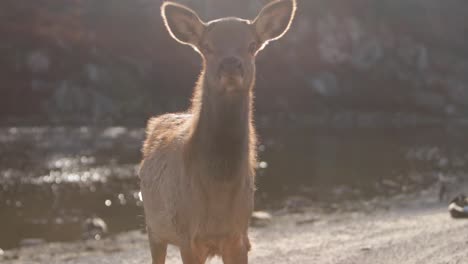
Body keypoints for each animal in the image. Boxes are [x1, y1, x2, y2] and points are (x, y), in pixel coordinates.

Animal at [140, 1, 296, 262]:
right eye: (206, 46)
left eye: (252, 45)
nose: (231, 64)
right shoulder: (188, 237)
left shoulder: (239, 236)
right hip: (154, 228)